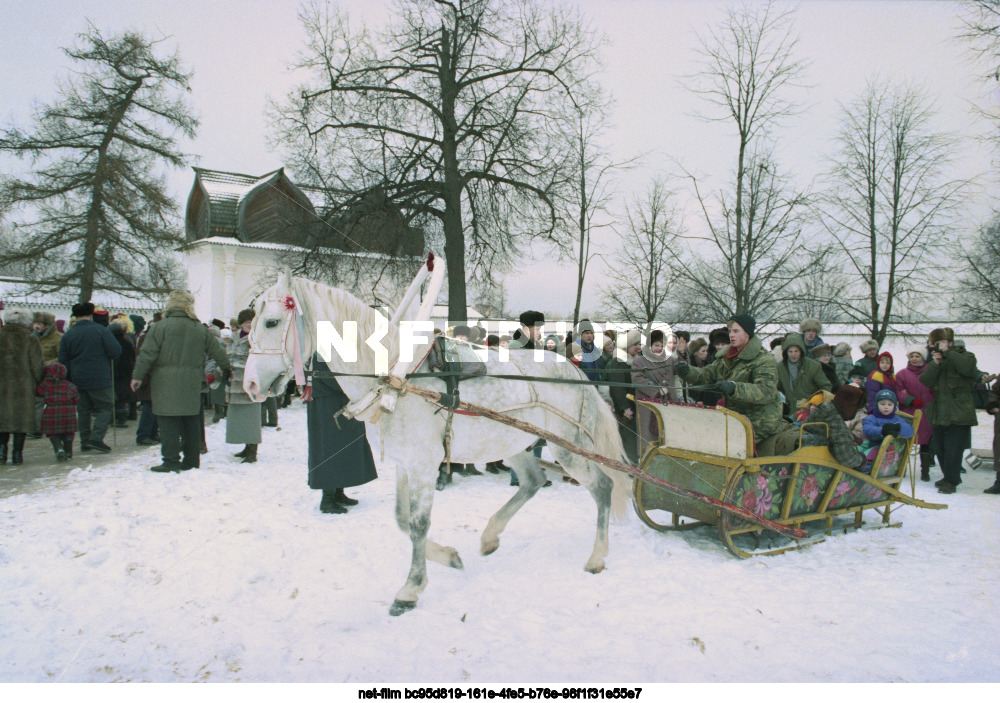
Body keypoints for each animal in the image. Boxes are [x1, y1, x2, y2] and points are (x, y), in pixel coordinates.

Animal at [244, 276, 632, 616]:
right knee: (533, 482)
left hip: (568, 448)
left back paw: (597, 556)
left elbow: (417, 523)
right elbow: (402, 520)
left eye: (272, 321)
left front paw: (410, 589)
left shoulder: (422, 464)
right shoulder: (406, 463)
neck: (398, 376)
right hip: (515, 444)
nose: (249, 384)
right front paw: (449, 557)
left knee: (603, 486)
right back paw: (490, 536)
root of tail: (576, 373)